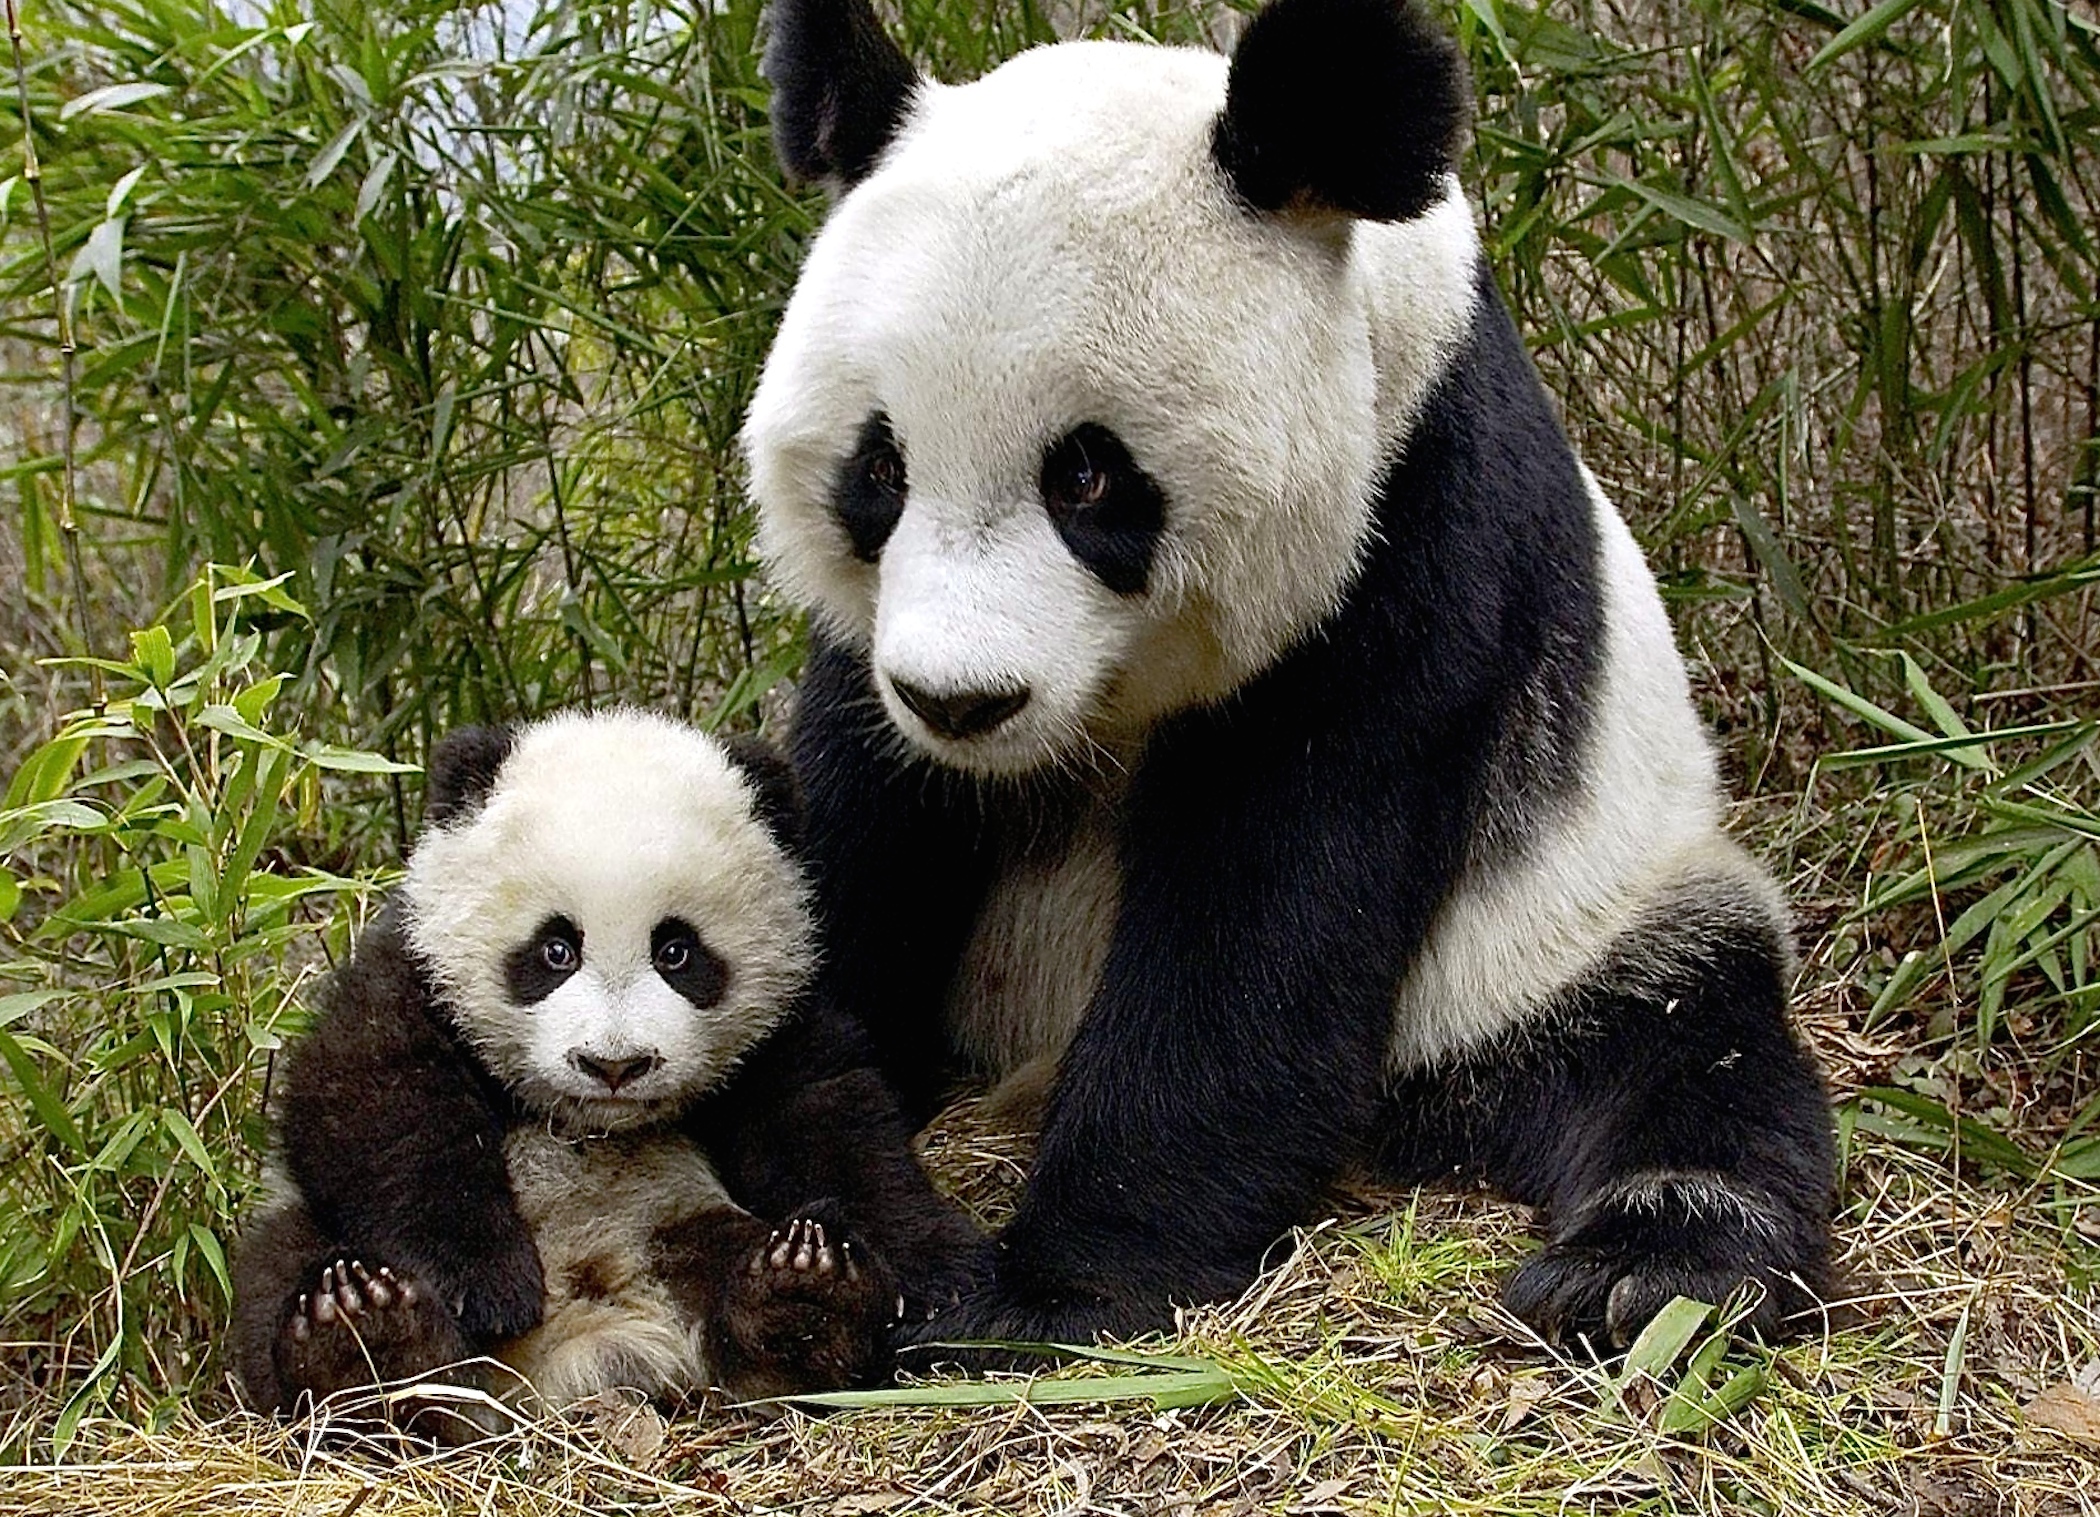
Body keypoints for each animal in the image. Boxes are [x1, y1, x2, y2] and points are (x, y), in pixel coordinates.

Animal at [232, 709, 962, 1432]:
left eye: (677, 951)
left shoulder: (780, 1021)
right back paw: (365, 1340)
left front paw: (929, 1283)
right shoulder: (412, 970)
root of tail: (580, 1349)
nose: (614, 1064)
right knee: (281, 1267)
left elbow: (831, 1121)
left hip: (676, 1221)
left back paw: (805, 1296)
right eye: (556, 948)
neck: (589, 1124)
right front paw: (485, 1284)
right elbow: (374, 1100)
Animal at [742, 0, 1836, 1354]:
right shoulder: (873, 662)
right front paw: (835, 1233)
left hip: (1571, 921)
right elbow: (858, 836)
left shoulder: (1412, 534)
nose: (963, 701)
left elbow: (1268, 912)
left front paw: (1045, 1293)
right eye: (880, 470)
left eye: (1086, 475)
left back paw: (1645, 1266)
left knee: (1686, 1043)